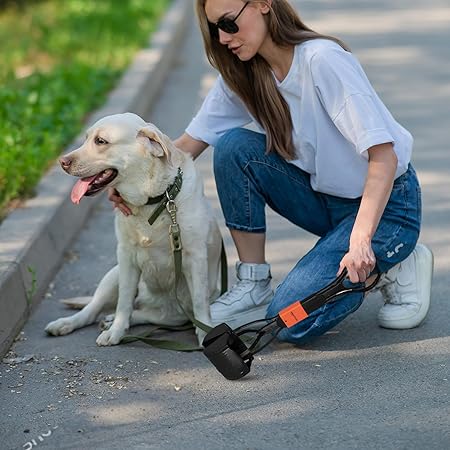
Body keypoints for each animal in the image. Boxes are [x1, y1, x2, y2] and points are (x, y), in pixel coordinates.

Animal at [44, 112, 222, 344]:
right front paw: (116, 332)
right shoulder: (126, 257)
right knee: (94, 309)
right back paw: (70, 323)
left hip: (173, 316)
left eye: (100, 141)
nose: (62, 161)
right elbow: (124, 302)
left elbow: (201, 303)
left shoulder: (195, 258)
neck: (152, 201)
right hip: (113, 275)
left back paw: (112, 320)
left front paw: (206, 336)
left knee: (143, 314)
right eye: (86, 138)